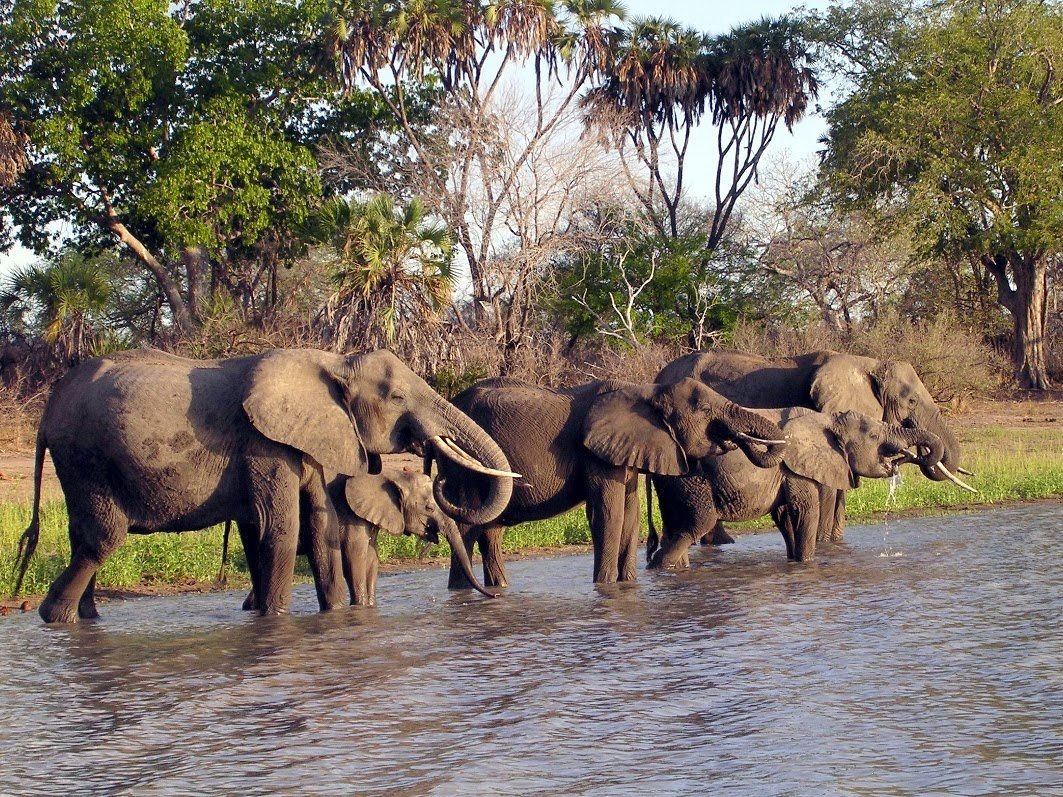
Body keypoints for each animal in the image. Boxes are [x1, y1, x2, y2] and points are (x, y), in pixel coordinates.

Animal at [13, 348, 514, 624]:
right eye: (396, 397)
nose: (438, 470)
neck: (332, 361)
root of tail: (47, 413)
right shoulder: (265, 443)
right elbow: (282, 529)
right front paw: (276, 622)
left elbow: (320, 529)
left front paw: (336, 618)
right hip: (86, 459)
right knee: (101, 538)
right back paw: (53, 617)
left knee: (82, 537)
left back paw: (86, 619)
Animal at [440, 378, 790, 590]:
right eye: (704, 410)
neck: (648, 392)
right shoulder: (595, 453)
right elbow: (608, 514)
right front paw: (606, 587)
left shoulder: (628, 450)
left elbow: (630, 515)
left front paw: (627, 586)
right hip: (464, 462)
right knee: (469, 525)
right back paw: (464, 592)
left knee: (490, 531)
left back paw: (495, 589)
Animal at [646, 412, 948, 569]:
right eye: (873, 437)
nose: (900, 459)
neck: (828, 421)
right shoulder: (796, 468)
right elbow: (805, 512)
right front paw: (807, 565)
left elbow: (784, 517)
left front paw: (794, 564)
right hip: (689, 479)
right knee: (696, 524)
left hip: (673, 483)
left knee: (675, 528)